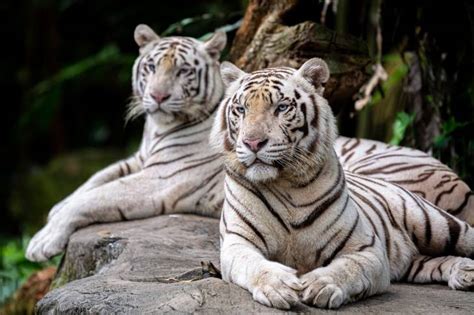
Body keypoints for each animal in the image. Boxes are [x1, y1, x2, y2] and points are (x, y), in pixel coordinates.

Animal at [213, 59, 474, 312]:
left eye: (282, 107)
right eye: (241, 109)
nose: (253, 143)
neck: (286, 182)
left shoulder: (367, 249)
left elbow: (348, 268)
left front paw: (321, 285)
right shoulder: (237, 243)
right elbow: (254, 265)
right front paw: (279, 286)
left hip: (435, 222)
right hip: (415, 259)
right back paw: (464, 272)